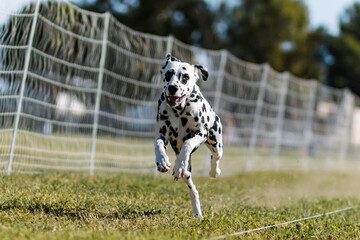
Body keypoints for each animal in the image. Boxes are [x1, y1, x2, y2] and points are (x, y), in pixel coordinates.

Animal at [155, 54, 222, 219]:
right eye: (168, 75)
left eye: (185, 77)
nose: (173, 87)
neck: (179, 110)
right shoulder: (163, 134)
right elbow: (157, 143)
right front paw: (162, 161)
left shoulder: (201, 134)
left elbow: (187, 143)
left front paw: (179, 164)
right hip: (187, 175)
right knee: (193, 191)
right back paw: (197, 212)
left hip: (216, 143)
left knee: (215, 157)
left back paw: (213, 172)